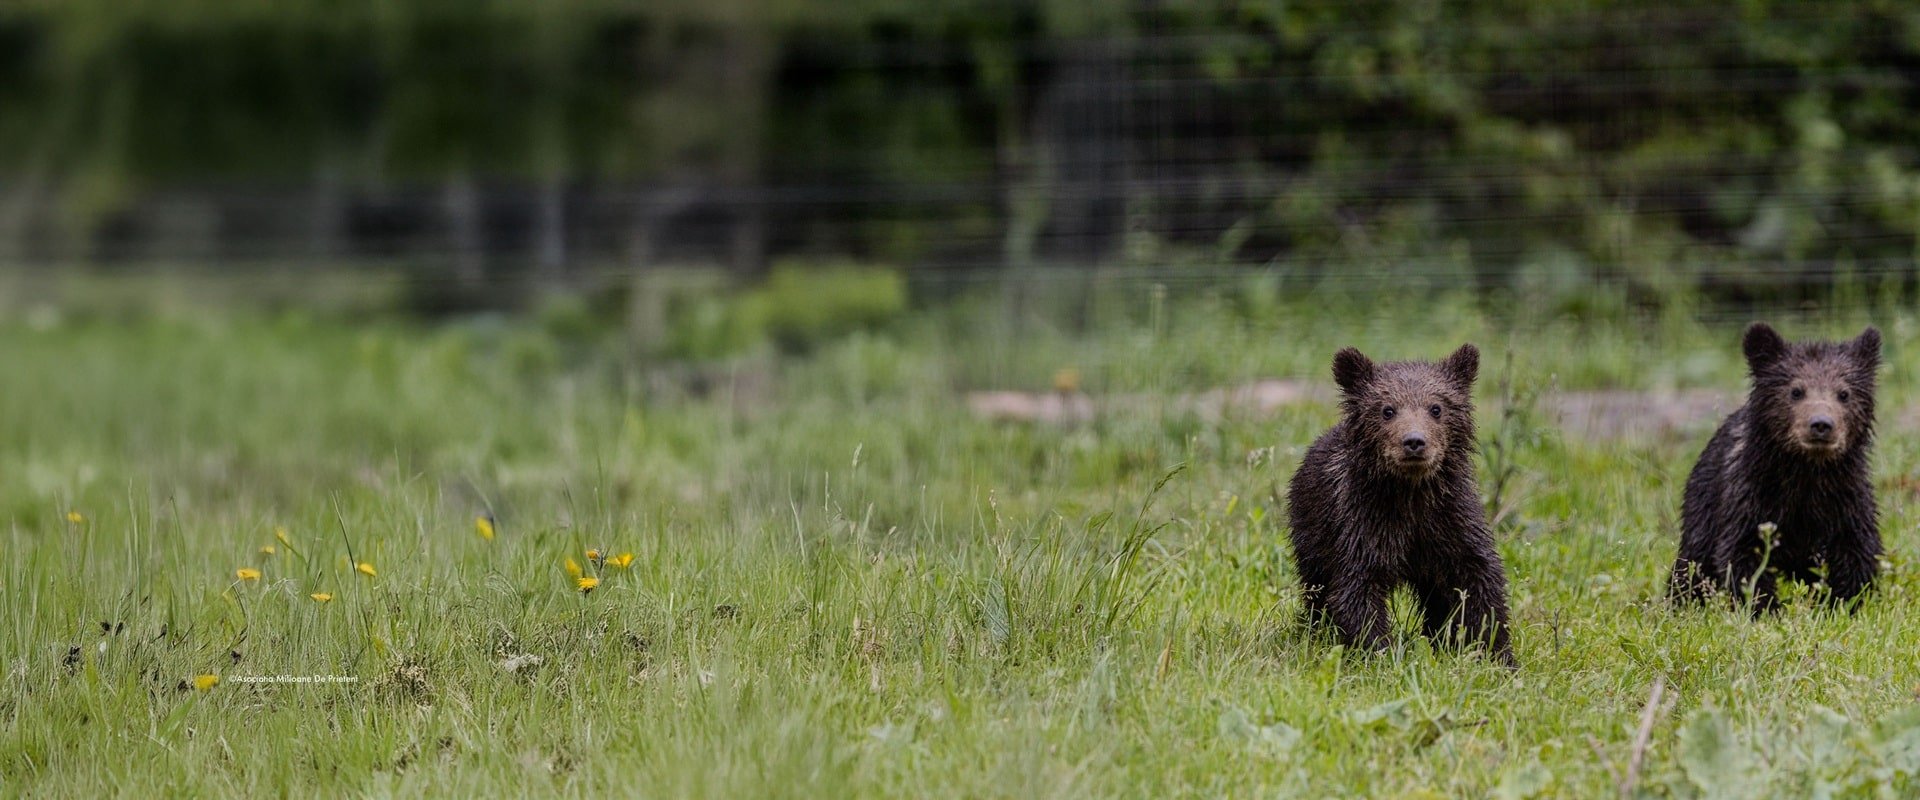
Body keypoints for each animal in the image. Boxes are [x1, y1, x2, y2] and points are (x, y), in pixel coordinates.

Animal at [1286, 343, 1514, 665]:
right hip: (1313, 533)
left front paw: (1498, 654)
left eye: (1436, 408)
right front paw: (1380, 653)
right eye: (1387, 410)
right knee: (1316, 588)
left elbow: (1478, 582)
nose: (1414, 442)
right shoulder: (1363, 526)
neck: (1410, 496)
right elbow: (1357, 592)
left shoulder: (1450, 522)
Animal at [1668, 322, 1883, 612]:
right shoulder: (1751, 497)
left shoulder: (1845, 499)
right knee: (1693, 562)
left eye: (1844, 393)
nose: (1821, 424)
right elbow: (1743, 553)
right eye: (1796, 391)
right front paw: (1764, 607)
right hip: (1704, 505)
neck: (1806, 472)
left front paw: (1844, 603)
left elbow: (1857, 551)